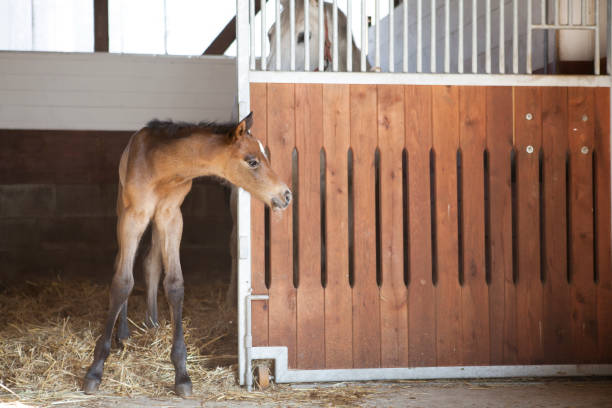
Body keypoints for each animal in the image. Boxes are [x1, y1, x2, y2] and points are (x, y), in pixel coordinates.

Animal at [83, 113, 292, 396]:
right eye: (252, 161)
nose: (286, 195)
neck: (162, 169)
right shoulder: (134, 215)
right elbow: (122, 282)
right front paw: (96, 369)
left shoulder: (171, 216)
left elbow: (174, 284)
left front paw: (181, 373)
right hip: (123, 211)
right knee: (123, 262)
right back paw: (124, 333)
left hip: (157, 221)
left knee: (150, 263)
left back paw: (152, 324)